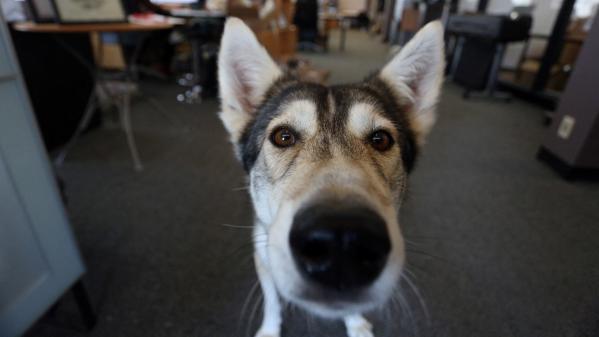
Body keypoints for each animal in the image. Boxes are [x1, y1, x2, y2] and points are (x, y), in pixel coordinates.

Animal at [218, 17, 442, 336]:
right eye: (283, 136)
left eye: (381, 140)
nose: (341, 241)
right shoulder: (263, 255)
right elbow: (272, 301)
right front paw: (270, 329)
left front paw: (356, 324)